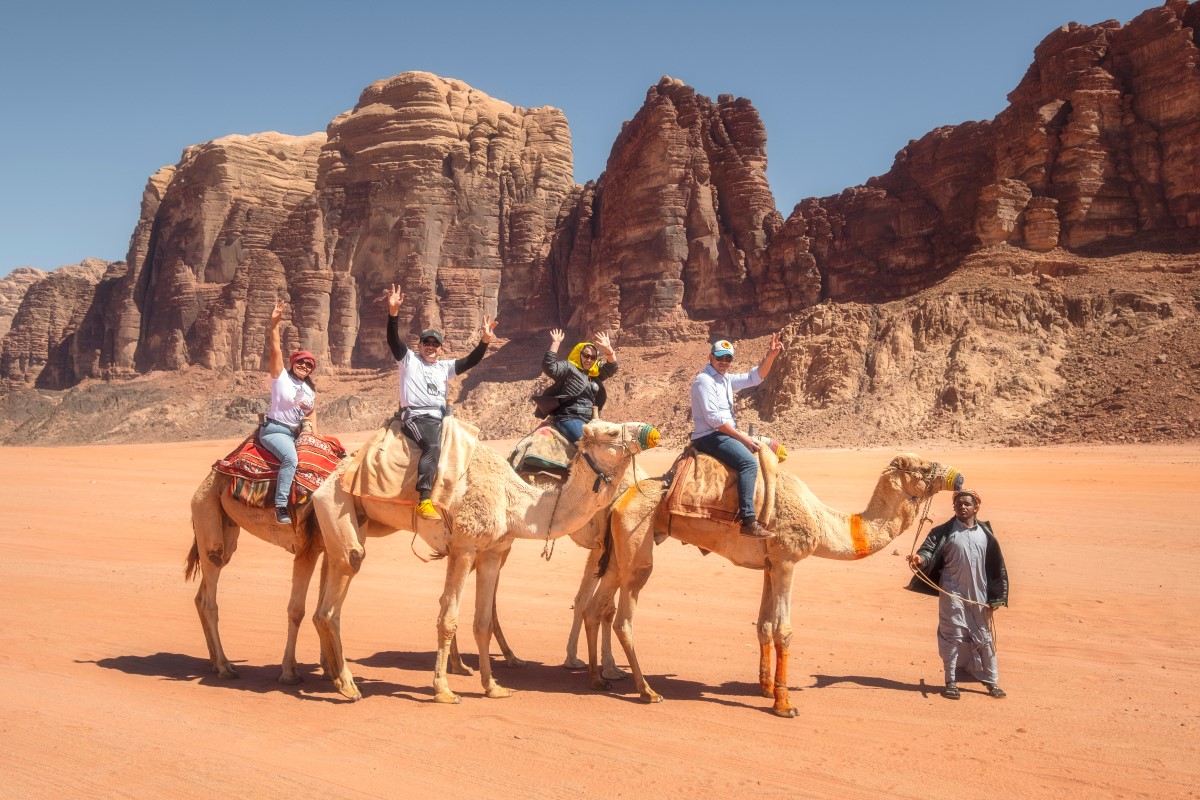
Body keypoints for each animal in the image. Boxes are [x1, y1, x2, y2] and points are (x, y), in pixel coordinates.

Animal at [309, 417, 662, 705]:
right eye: (613, 431)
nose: (651, 432)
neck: (515, 502)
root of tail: (327, 480)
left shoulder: (492, 551)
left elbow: (482, 621)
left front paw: (493, 686)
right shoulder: (466, 546)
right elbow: (448, 618)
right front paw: (443, 690)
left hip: (357, 521)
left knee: (328, 587)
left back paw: (332, 677)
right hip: (336, 503)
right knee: (339, 591)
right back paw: (348, 686)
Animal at [585, 450, 960, 719]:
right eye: (923, 468)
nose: (957, 477)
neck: (821, 520)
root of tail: (617, 503)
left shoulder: (770, 565)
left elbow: (764, 625)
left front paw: (765, 687)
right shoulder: (787, 560)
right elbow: (784, 630)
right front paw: (784, 703)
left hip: (618, 552)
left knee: (595, 607)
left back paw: (598, 679)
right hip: (638, 547)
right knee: (624, 616)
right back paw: (647, 692)